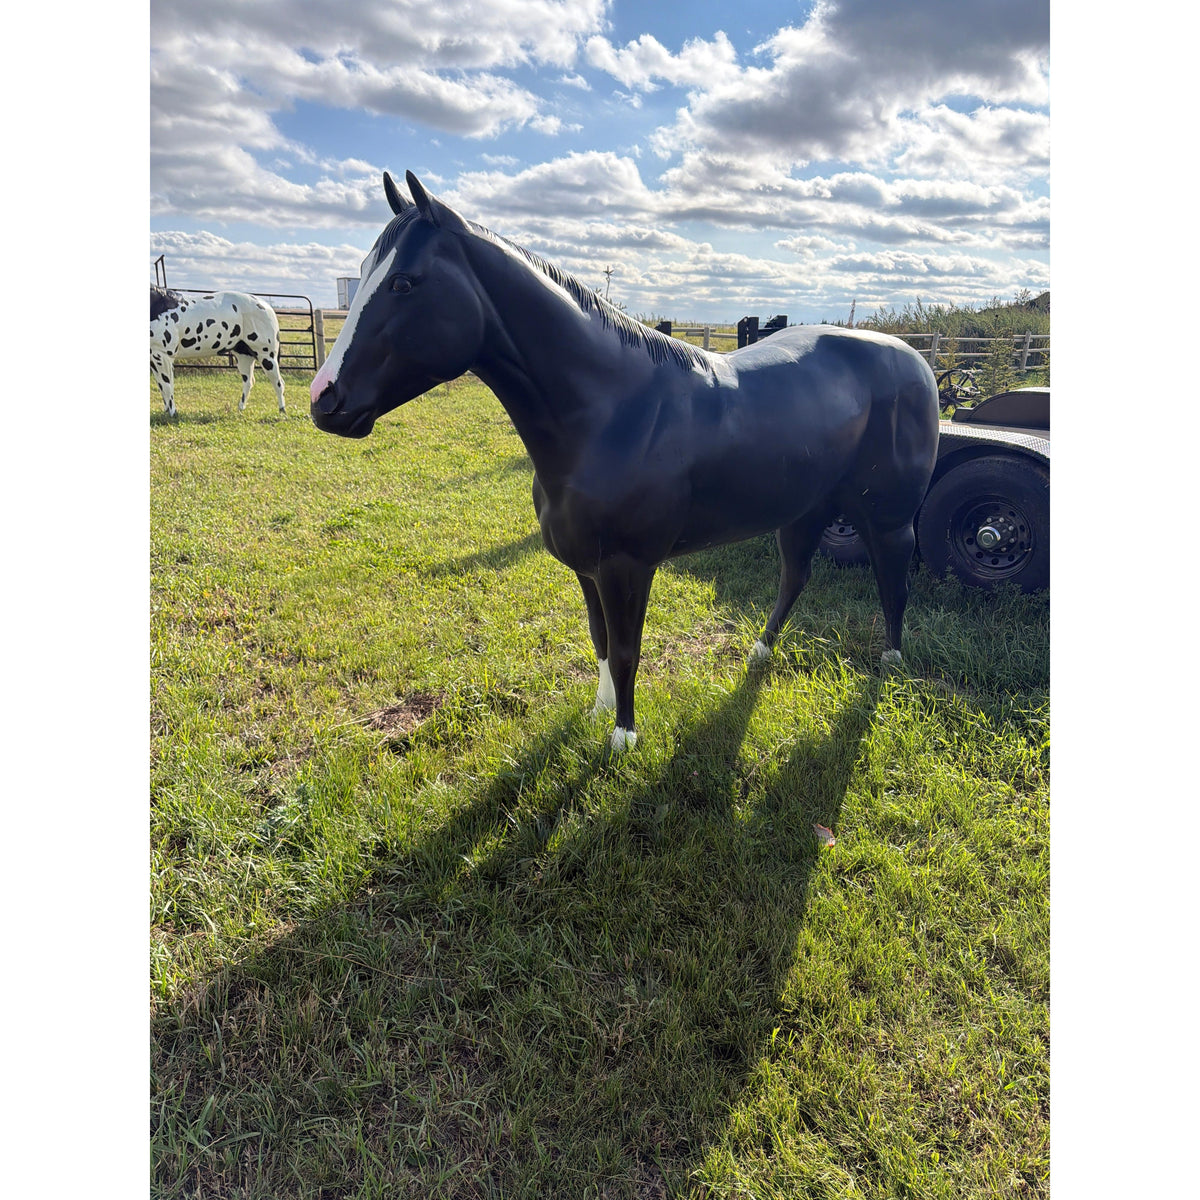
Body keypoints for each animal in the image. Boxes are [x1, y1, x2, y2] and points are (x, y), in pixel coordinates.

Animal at [150, 287, 286, 416]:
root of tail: (266, 306)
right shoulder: (154, 358)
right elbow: (161, 386)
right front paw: (167, 411)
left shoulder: (162, 356)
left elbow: (167, 386)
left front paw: (173, 413)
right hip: (244, 356)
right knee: (249, 382)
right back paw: (241, 408)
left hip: (266, 355)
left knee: (278, 382)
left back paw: (282, 411)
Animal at [310, 171, 939, 751]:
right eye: (366, 273)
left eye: (404, 282)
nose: (324, 399)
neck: (613, 413)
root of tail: (915, 360)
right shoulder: (587, 567)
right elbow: (600, 641)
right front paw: (598, 714)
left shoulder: (627, 566)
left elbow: (627, 650)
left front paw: (623, 738)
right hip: (805, 509)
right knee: (795, 575)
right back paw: (761, 652)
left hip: (885, 517)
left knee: (893, 578)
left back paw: (890, 664)